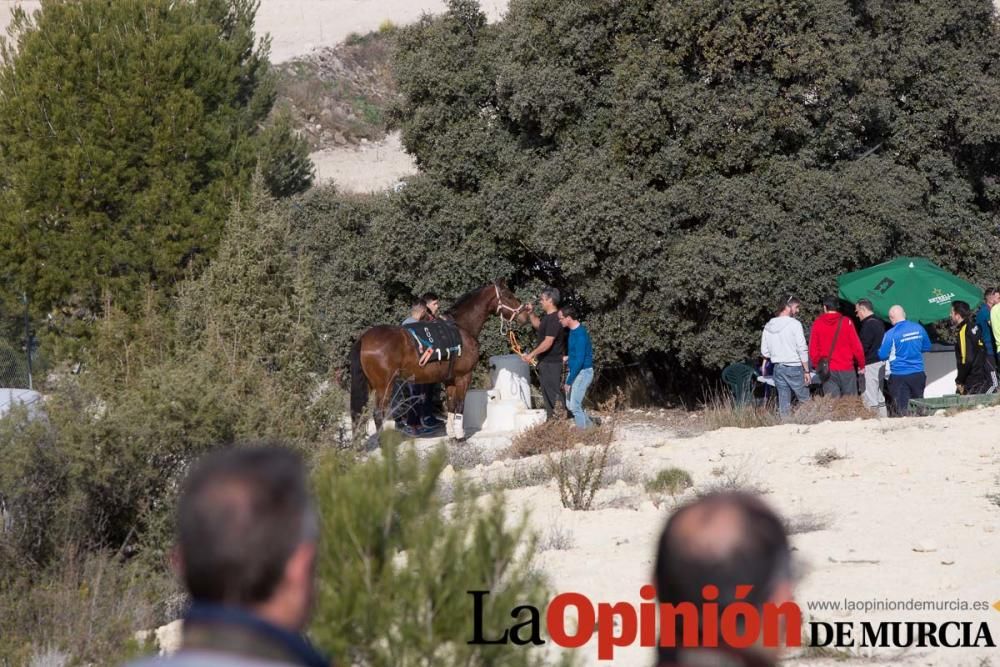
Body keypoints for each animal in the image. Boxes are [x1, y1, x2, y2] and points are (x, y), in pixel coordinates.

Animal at [348, 280, 528, 440]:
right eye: (508, 295)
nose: (524, 315)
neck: (462, 328)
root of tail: (364, 338)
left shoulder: (449, 379)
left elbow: (451, 406)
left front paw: (451, 434)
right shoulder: (464, 376)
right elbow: (460, 406)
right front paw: (460, 436)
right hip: (385, 386)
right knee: (378, 414)